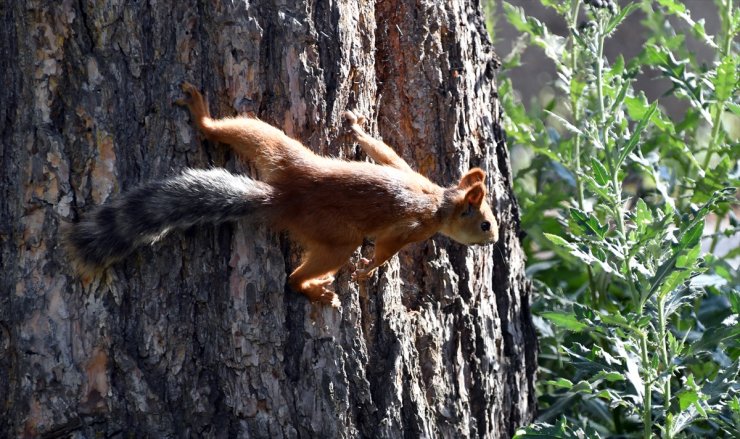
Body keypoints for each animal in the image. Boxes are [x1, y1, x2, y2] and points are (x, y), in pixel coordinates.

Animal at [66, 84, 500, 308]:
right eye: (485, 224)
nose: (494, 240)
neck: (440, 200)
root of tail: (286, 197)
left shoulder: (403, 166)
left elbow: (382, 150)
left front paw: (357, 130)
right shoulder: (413, 226)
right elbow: (388, 248)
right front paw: (368, 270)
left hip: (280, 148)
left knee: (237, 132)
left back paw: (203, 118)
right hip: (335, 237)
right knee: (296, 277)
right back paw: (314, 288)